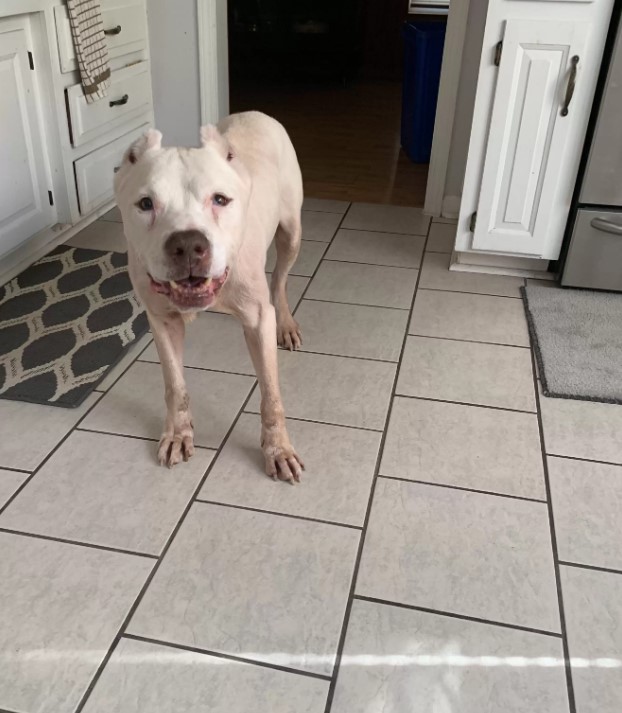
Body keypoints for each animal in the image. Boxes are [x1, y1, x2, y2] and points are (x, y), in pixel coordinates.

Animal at [115, 111, 308, 482]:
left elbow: (271, 395)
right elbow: (175, 386)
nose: (188, 244)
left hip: (291, 232)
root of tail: (255, 113)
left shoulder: (258, 319)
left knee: (279, 279)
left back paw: (287, 324)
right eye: (145, 204)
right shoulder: (162, 320)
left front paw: (278, 449)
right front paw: (178, 434)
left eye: (220, 199)